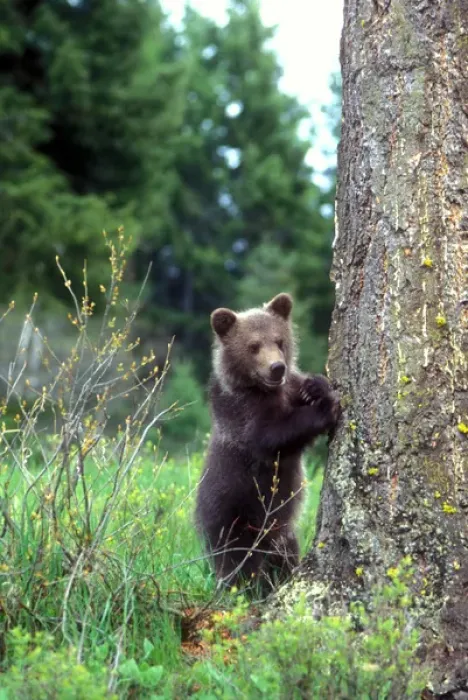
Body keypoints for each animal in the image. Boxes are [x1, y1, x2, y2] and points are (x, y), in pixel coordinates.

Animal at [195, 292, 340, 592]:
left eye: (279, 340)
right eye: (253, 346)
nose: (277, 368)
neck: (265, 391)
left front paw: (316, 386)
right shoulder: (242, 415)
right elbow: (272, 437)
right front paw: (325, 410)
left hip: (280, 533)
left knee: (284, 553)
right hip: (233, 517)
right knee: (240, 564)